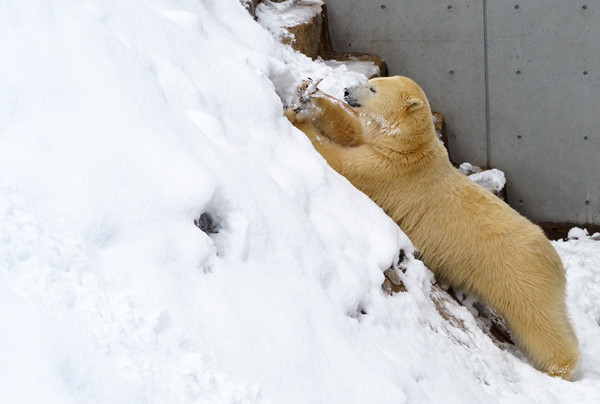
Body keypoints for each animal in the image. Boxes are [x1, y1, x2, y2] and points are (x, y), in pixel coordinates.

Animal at [286, 76, 580, 382]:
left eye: (373, 89)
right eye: (370, 81)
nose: (346, 91)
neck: (412, 149)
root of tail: (554, 260)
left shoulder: (390, 171)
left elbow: (343, 163)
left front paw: (297, 120)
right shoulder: (385, 150)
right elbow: (352, 130)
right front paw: (312, 94)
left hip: (519, 277)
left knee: (539, 322)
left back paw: (560, 369)